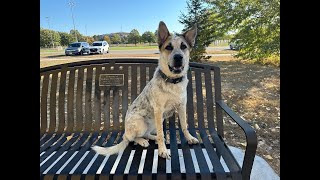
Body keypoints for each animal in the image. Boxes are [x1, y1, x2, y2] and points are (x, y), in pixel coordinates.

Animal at [91, 21, 199, 159]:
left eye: (184, 46)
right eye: (168, 47)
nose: (178, 57)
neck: (172, 81)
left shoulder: (181, 106)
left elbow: (184, 126)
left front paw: (189, 138)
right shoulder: (158, 110)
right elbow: (161, 133)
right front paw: (163, 150)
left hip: (156, 121)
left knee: (148, 133)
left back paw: (152, 137)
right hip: (141, 122)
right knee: (130, 138)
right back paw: (142, 141)